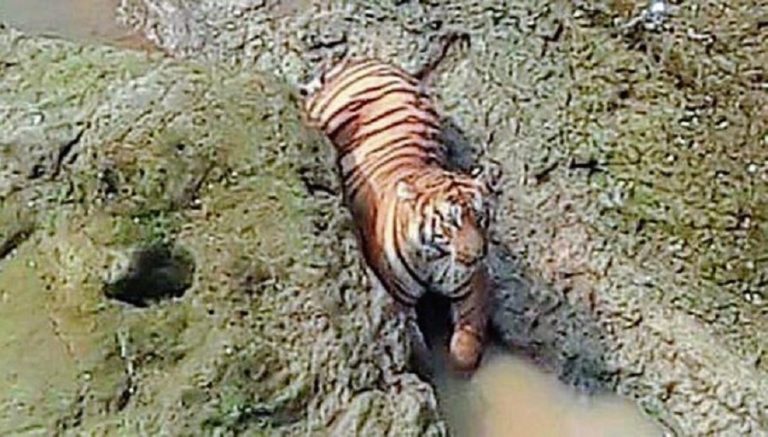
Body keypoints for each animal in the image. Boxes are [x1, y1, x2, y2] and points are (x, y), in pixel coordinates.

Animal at [300, 34, 499, 372]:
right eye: (451, 222)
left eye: (481, 218)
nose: (476, 256)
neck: (435, 256)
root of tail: (367, 60)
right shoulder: (399, 300)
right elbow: (416, 346)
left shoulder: (474, 284)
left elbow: (467, 344)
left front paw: (459, 359)